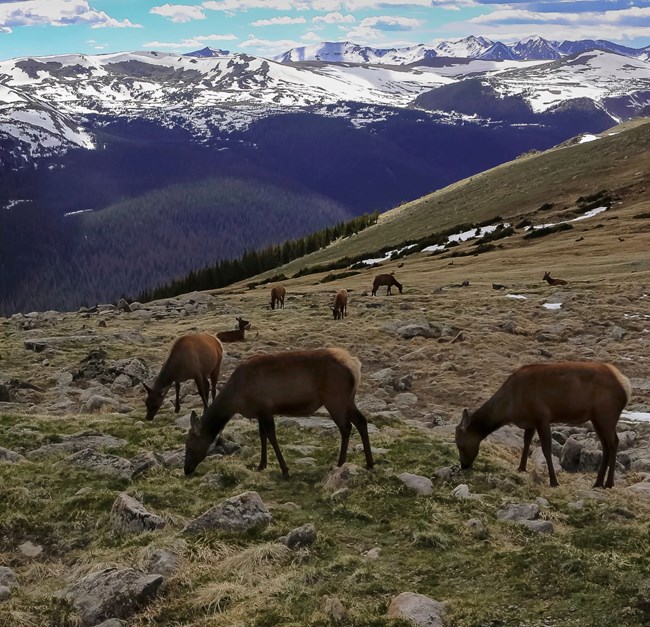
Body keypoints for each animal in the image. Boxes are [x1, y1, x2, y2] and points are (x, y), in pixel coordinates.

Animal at [185, 348, 372, 476]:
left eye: (190, 445)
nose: (186, 469)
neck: (236, 399)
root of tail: (355, 365)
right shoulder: (260, 411)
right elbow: (262, 436)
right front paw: (261, 465)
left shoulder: (266, 407)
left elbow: (271, 436)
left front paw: (285, 469)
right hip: (347, 399)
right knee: (361, 421)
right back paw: (368, 463)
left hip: (336, 400)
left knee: (346, 427)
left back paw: (341, 463)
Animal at [456, 364, 628, 490]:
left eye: (459, 443)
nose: (464, 465)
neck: (511, 407)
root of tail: (626, 386)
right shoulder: (530, 421)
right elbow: (526, 442)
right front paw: (521, 468)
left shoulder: (542, 416)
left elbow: (546, 448)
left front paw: (554, 481)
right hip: (597, 418)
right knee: (606, 445)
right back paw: (598, 482)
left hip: (606, 414)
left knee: (613, 443)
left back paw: (609, 483)